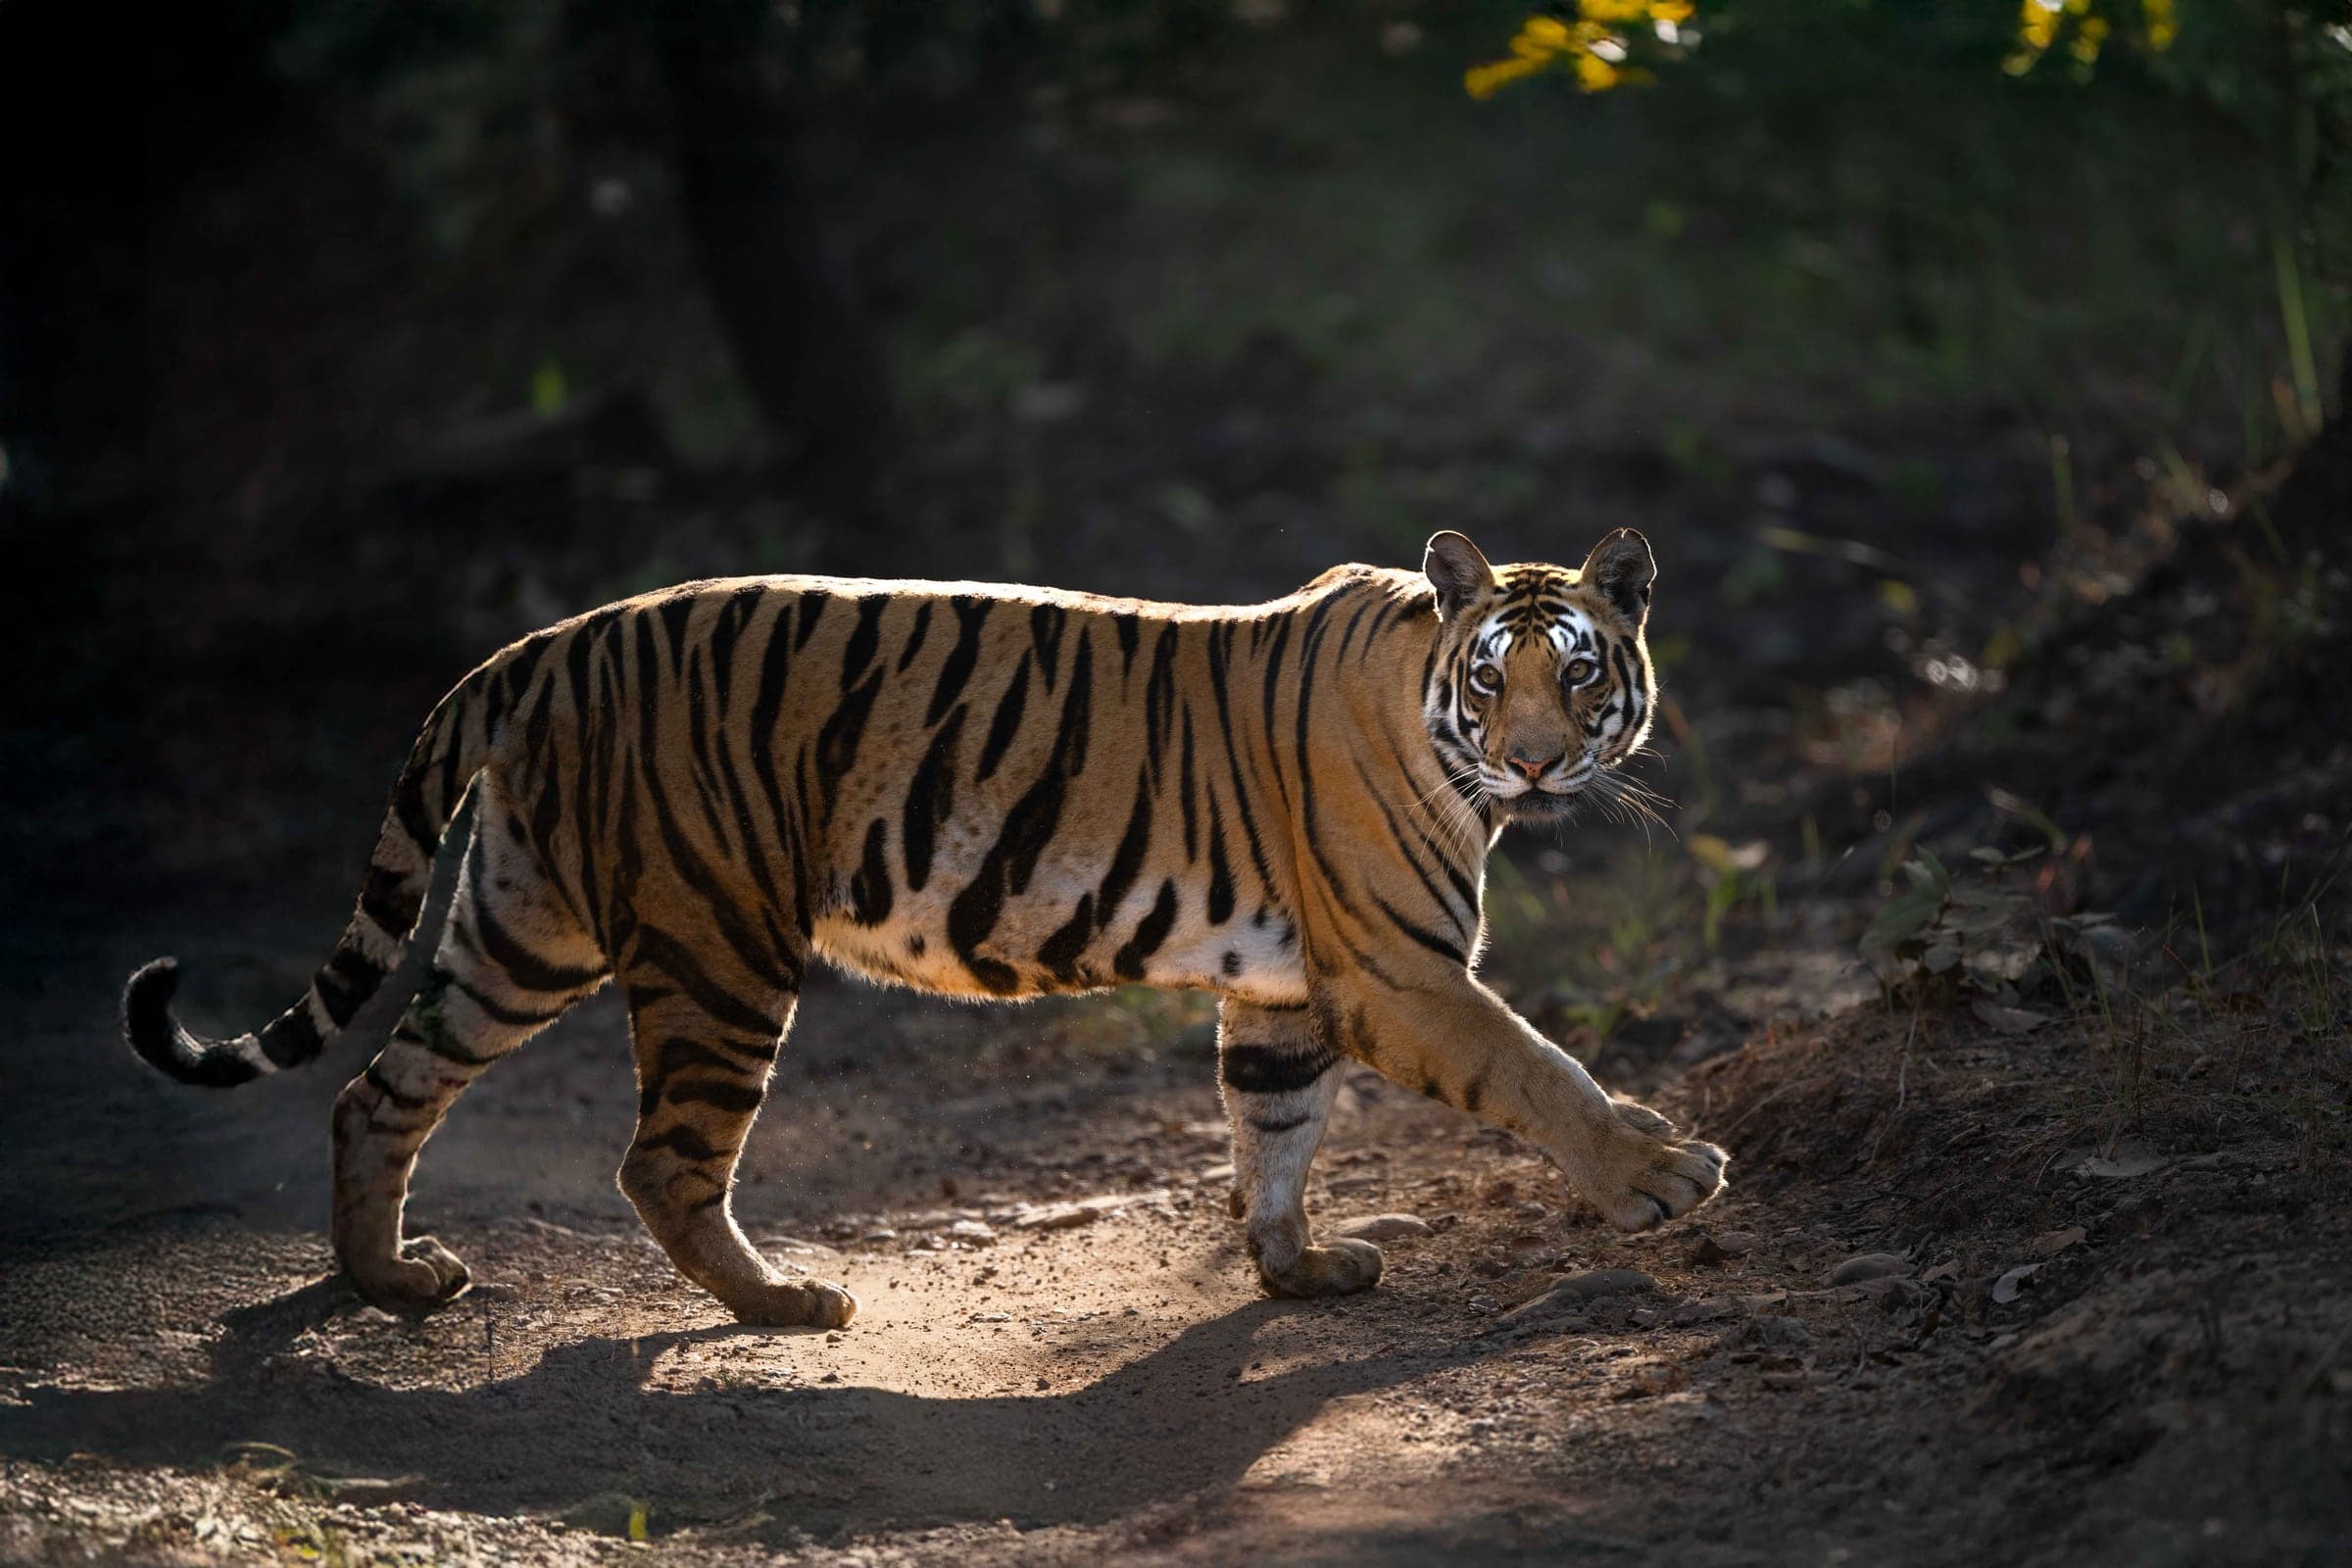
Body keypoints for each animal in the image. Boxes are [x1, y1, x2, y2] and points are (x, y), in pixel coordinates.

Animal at [122, 528, 1727, 1328]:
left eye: (1582, 674)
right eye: (1500, 676)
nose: (1536, 763)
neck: (1427, 706)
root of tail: (543, 644)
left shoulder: (1284, 990)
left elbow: (1273, 1130)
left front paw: (1296, 1270)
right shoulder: (1396, 969)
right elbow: (1540, 1070)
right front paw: (1660, 1173)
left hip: (522, 926)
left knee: (378, 1085)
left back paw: (385, 1282)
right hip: (716, 948)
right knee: (662, 1160)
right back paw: (786, 1304)